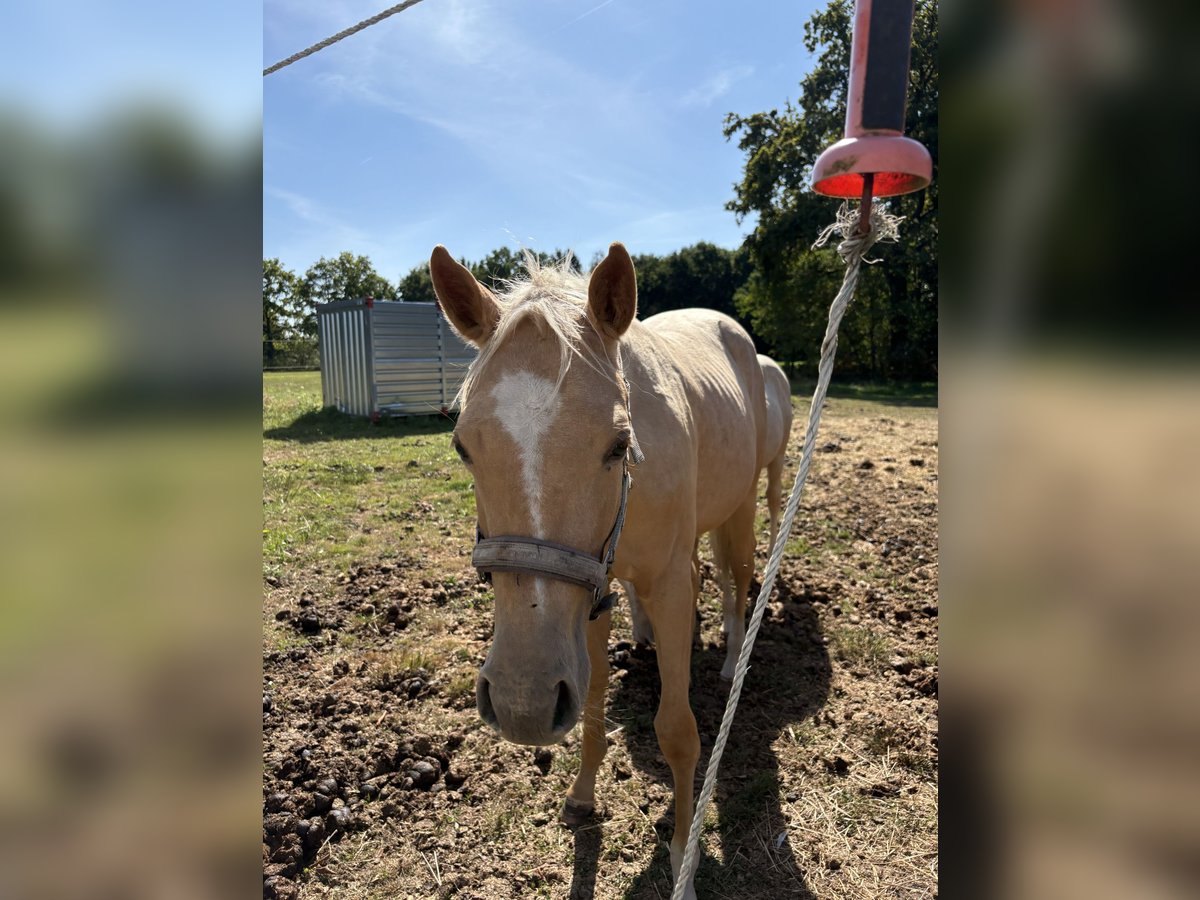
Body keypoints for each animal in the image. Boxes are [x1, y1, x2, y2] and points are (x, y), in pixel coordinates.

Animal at [429, 242, 768, 899]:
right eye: (462, 447)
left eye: (617, 444)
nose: (522, 702)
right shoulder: (589, 592)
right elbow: (589, 702)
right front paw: (583, 796)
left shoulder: (666, 586)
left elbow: (677, 731)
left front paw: (683, 858)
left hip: (743, 503)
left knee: (736, 576)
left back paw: (731, 652)